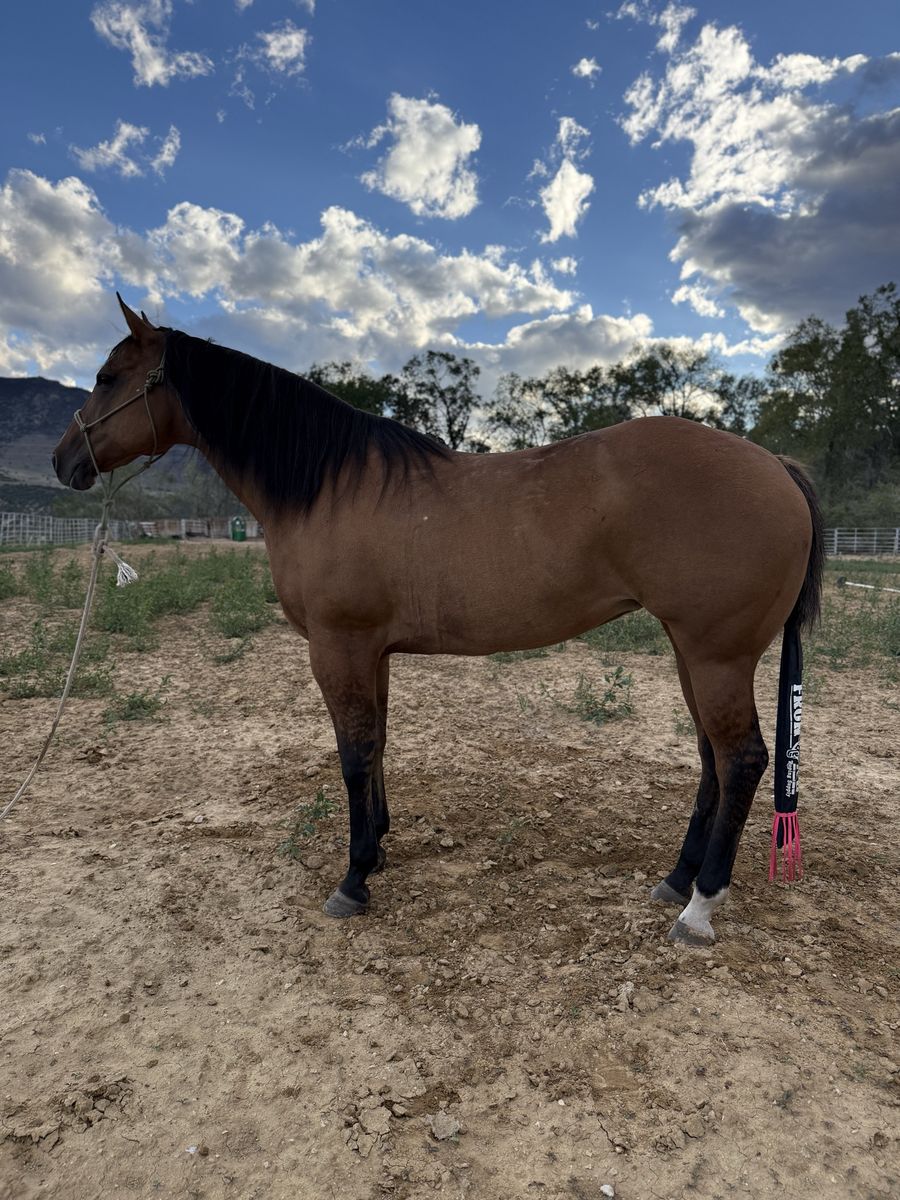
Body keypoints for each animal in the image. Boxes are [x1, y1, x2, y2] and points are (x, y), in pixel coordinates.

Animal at [52, 296, 823, 946]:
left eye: (108, 376)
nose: (64, 462)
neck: (326, 487)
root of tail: (775, 465)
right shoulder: (371, 652)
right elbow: (377, 746)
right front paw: (378, 849)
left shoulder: (338, 647)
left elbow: (354, 753)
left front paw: (353, 879)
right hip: (690, 651)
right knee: (712, 760)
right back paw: (675, 880)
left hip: (717, 656)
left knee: (742, 760)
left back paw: (700, 906)